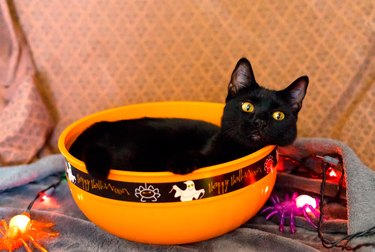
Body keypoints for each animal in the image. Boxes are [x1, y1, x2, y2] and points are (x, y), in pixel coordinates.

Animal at [70, 58, 308, 178]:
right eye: (247, 106)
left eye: (278, 115)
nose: (260, 121)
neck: (239, 151)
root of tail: (99, 126)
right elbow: (198, 155)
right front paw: (180, 163)